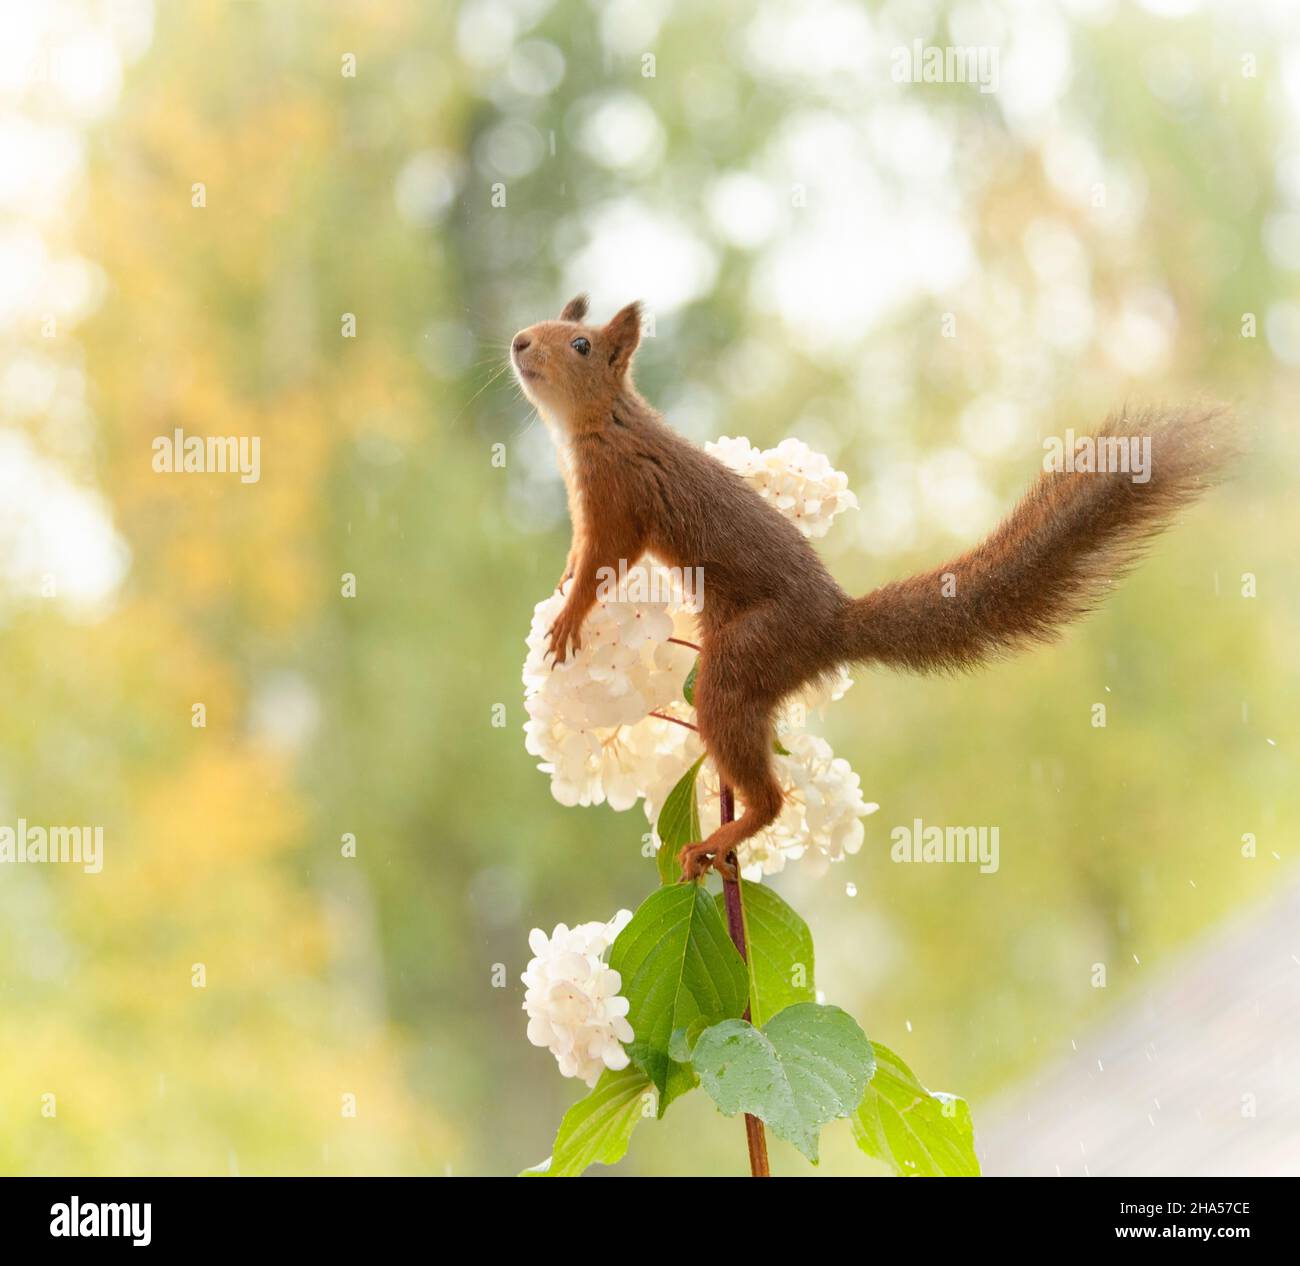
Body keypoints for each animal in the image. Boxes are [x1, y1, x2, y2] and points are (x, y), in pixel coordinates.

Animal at [510, 294, 1233, 882]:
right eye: (546, 322)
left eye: (580, 344)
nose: (518, 341)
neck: (604, 422)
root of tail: (834, 625)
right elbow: (579, 555)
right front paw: (563, 578)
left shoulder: (618, 497)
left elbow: (605, 560)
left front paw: (569, 617)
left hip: (743, 658)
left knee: (766, 787)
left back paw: (723, 836)